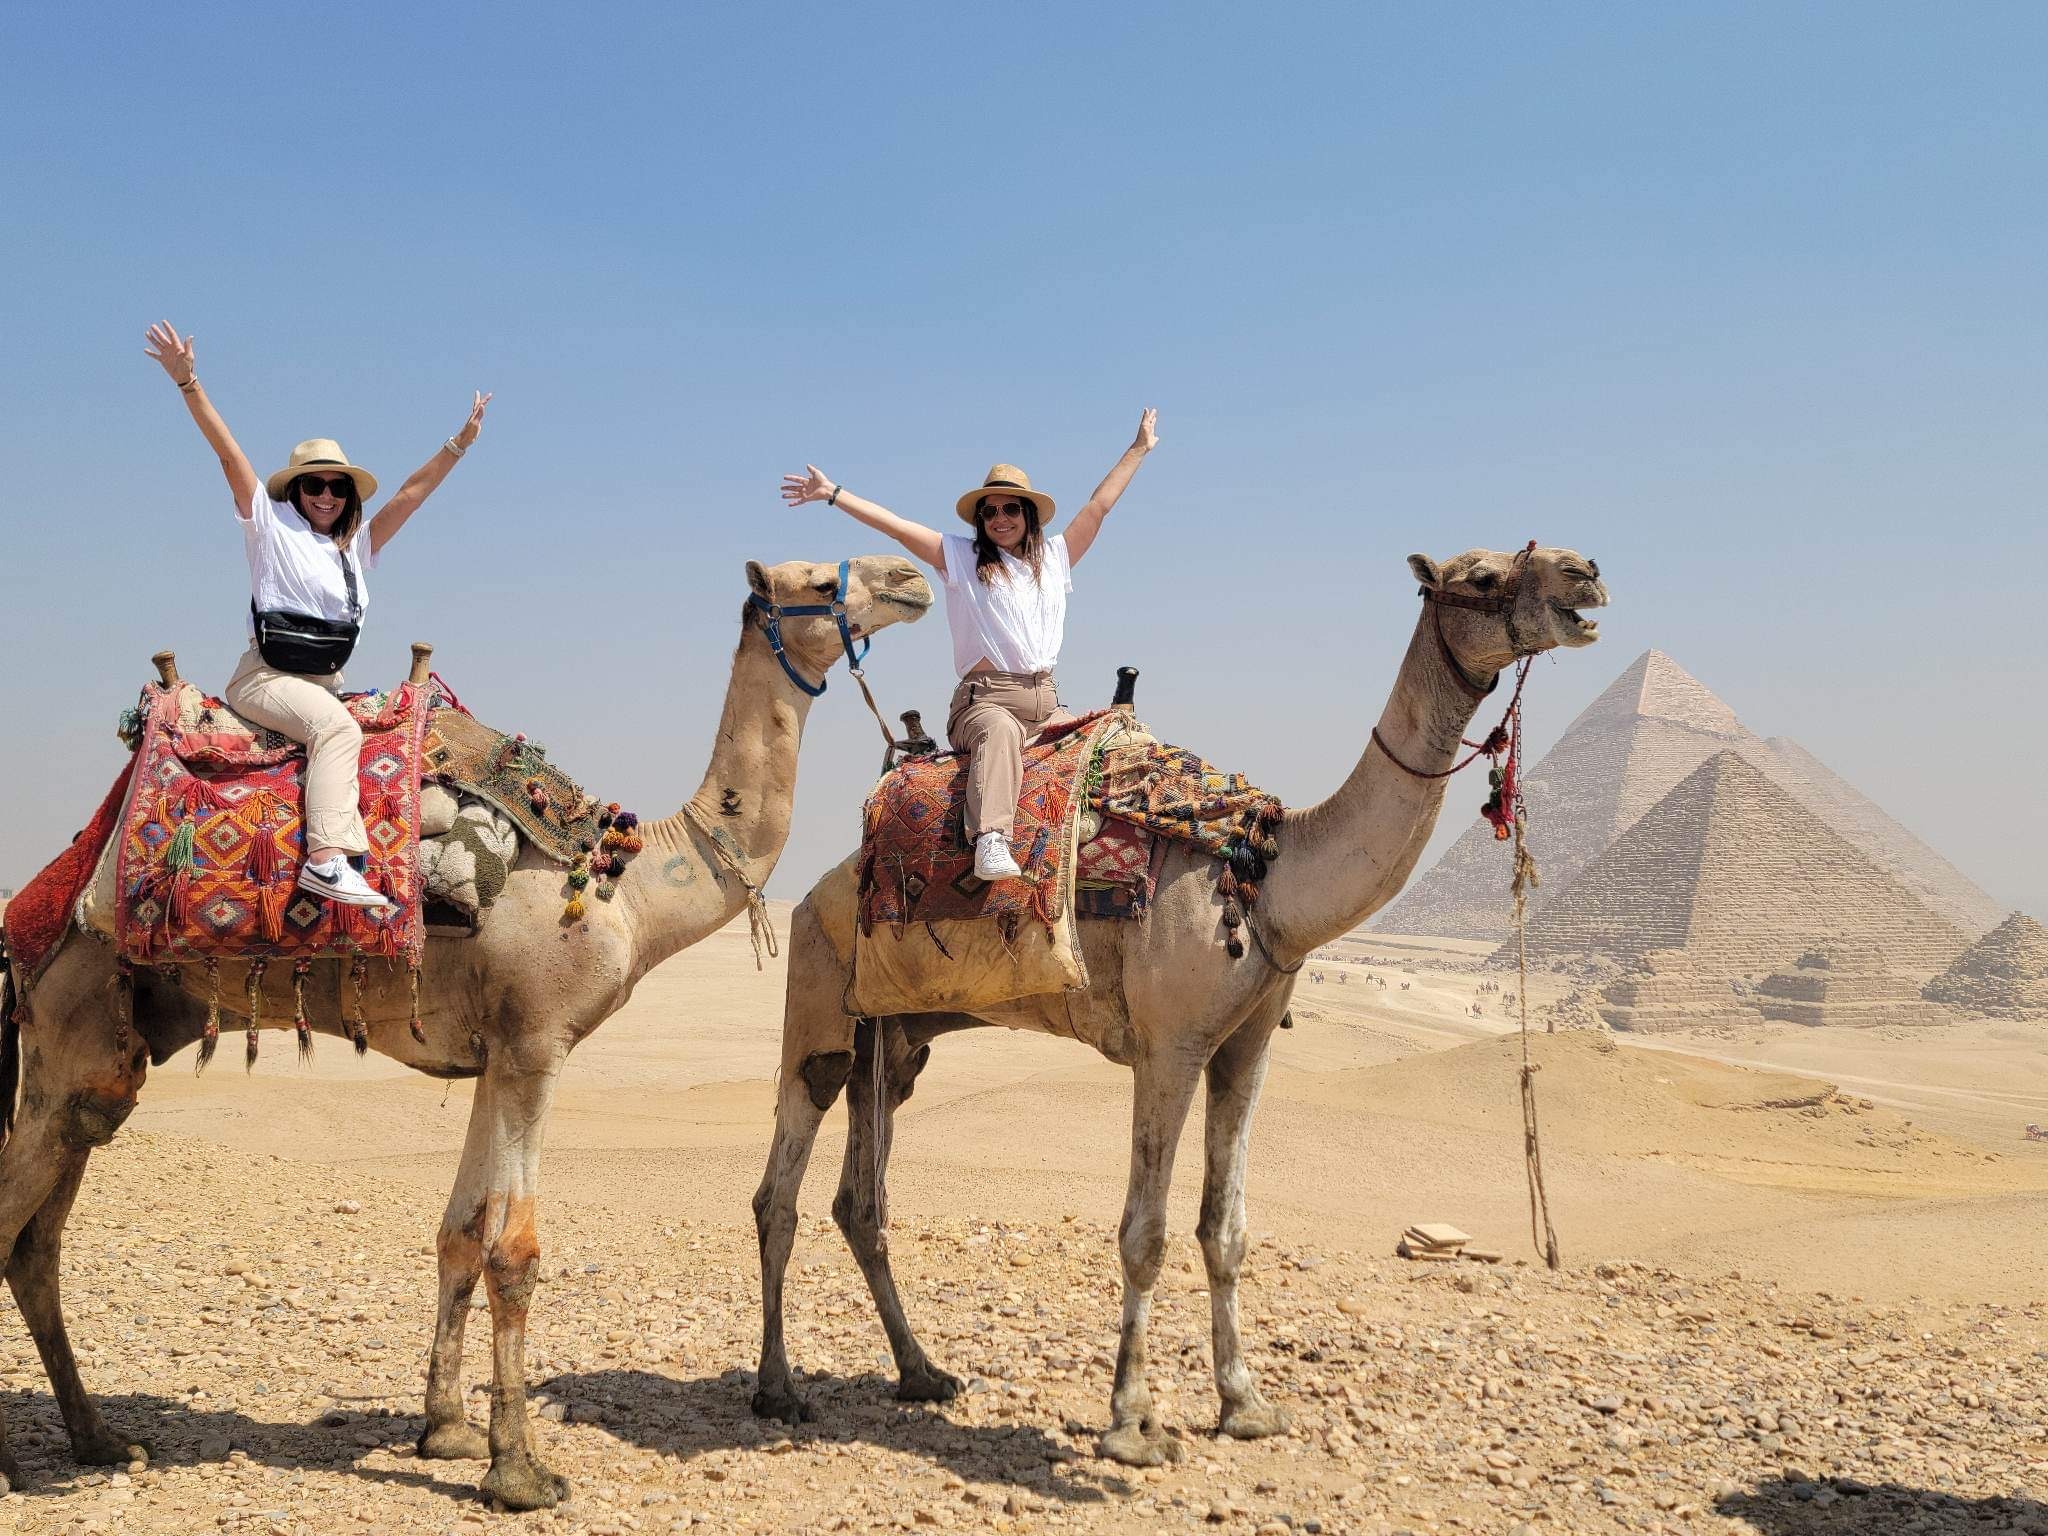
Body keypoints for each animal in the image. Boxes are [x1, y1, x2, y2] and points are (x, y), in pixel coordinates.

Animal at [0, 557, 937, 1515]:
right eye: (818, 580)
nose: (911, 578)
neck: (629, 889)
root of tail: (40, 901)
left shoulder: (494, 1057)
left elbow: (459, 1233)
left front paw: (445, 1429)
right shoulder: (536, 1047)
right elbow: (514, 1252)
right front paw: (519, 1470)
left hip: (101, 1057)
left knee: (39, 1237)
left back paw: (100, 1438)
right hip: (73, 1018)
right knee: (13, 1222)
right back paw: (24, 1459)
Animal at [745, 540, 1605, 1466]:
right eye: (1481, 577)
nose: (1585, 573)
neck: (1269, 878)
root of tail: (825, 882)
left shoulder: (1246, 1047)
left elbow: (1224, 1232)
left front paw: (1246, 1405)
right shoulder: (1169, 1045)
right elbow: (1144, 1233)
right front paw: (1132, 1423)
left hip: (895, 1043)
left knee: (860, 1203)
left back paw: (921, 1373)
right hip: (820, 1005)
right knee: (779, 1194)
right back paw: (777, 1390)